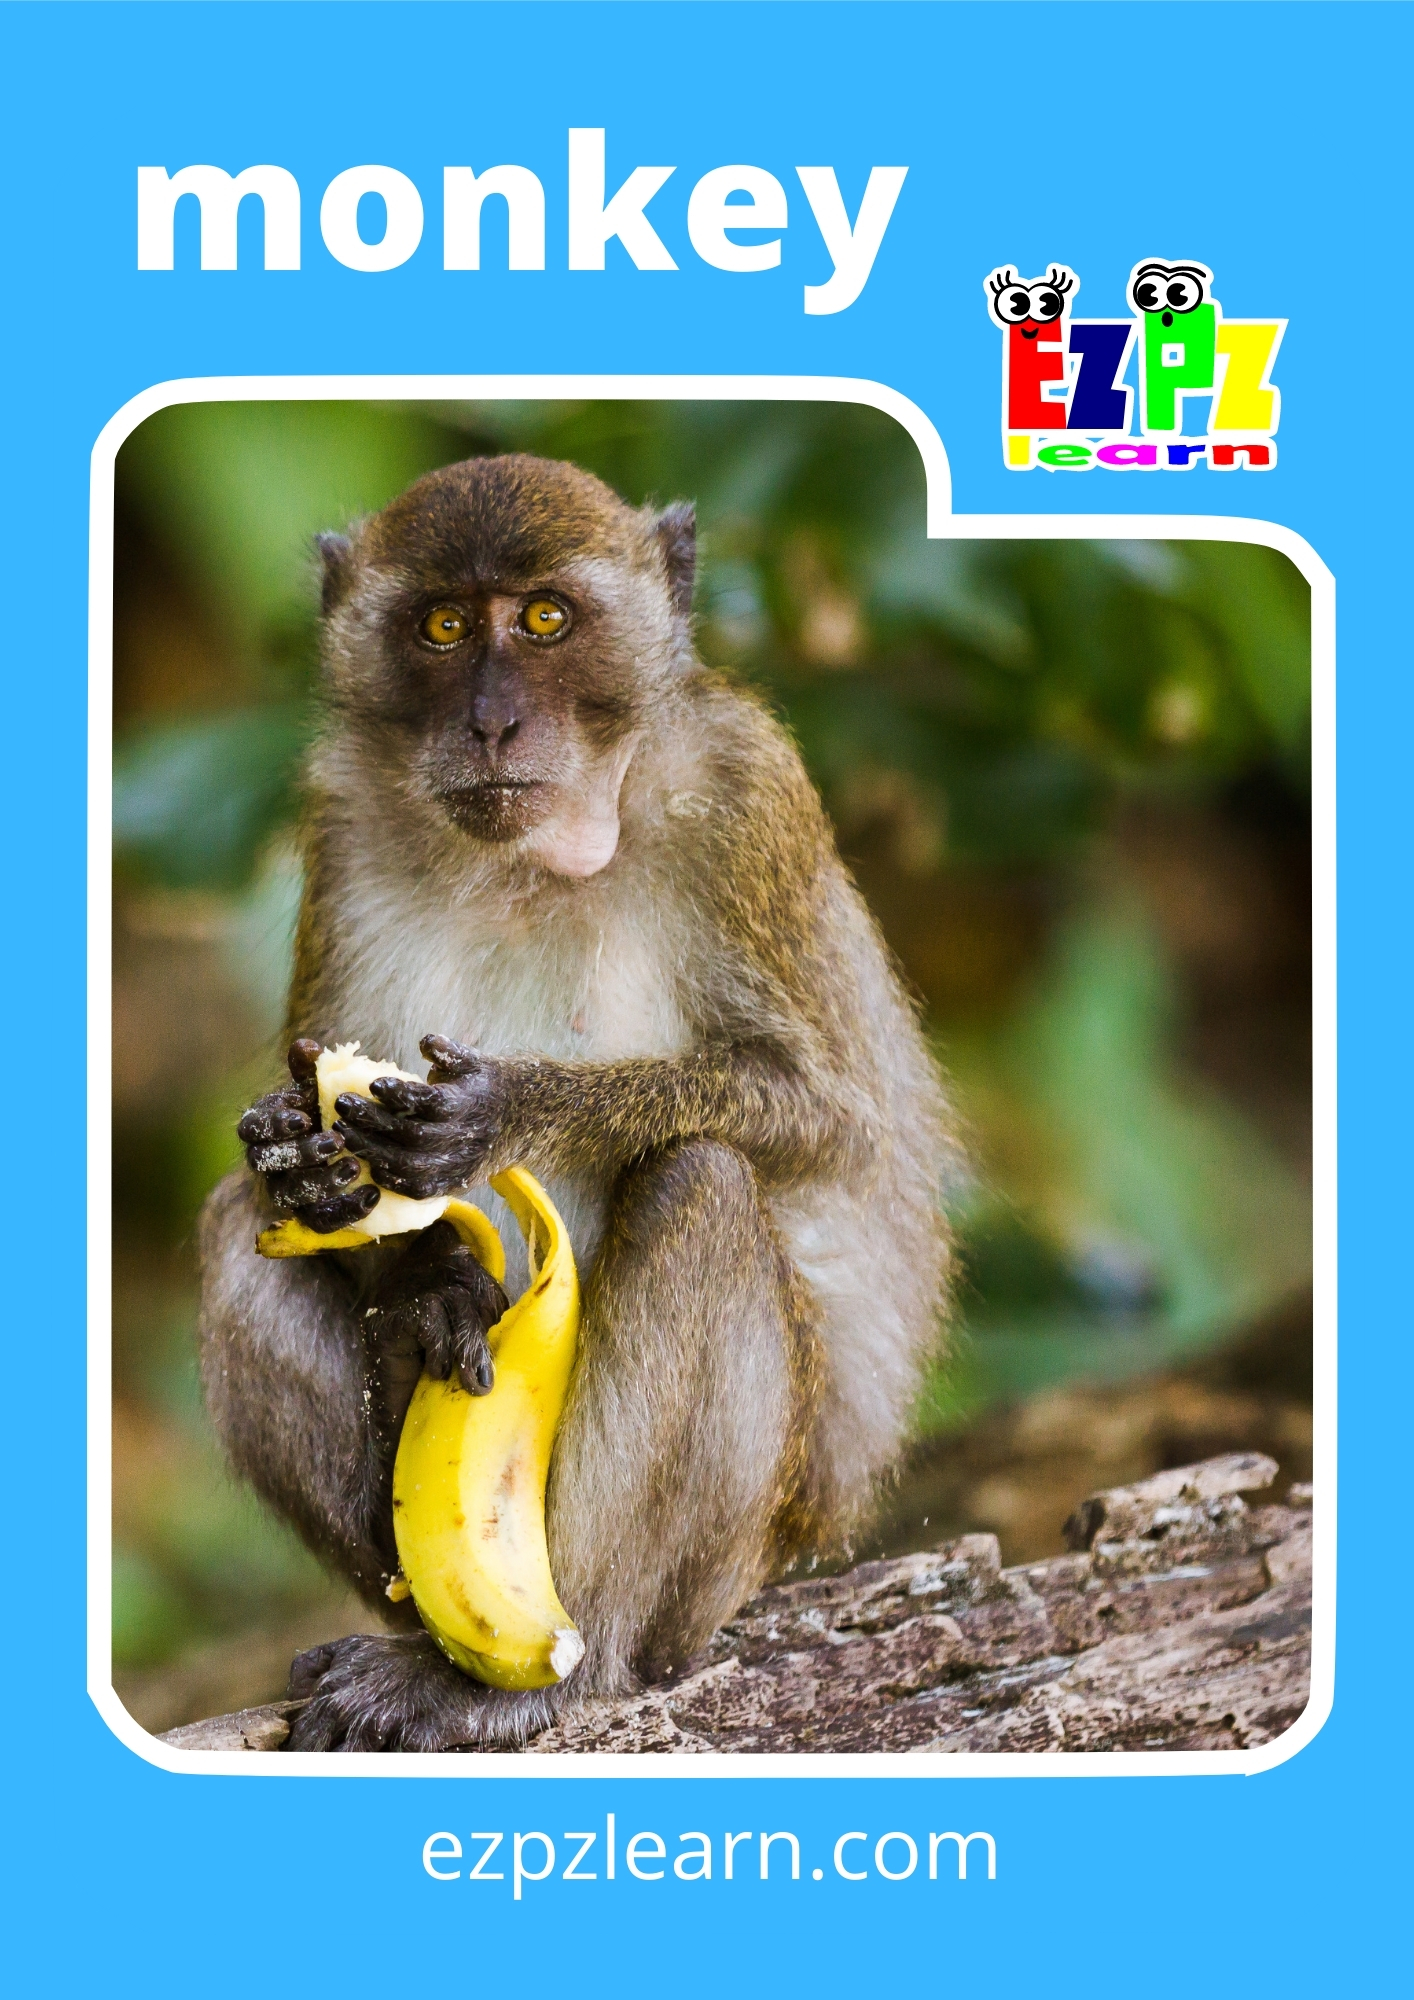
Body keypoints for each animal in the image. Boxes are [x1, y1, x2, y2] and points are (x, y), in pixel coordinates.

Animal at [197, 451, 952, 1752]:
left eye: (545, 619)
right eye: (445, 626)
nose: (491, 719)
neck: (530, 857)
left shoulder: (744, 792)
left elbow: (830, 1113)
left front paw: (507, 1109)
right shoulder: (341, 824)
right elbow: (305, 1168)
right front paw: (349, 1197)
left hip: (744, 1542)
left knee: (702, 1185)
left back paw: (533, 1673)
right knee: (233, 1232)